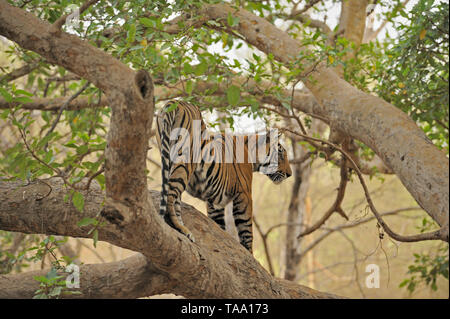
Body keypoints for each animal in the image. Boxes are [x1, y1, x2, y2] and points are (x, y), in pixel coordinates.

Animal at [156, 101, 294, 254]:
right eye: (280, 153)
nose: (290, 174)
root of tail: (175, 102)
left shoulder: (215, 204)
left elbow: (220, 227)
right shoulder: (244, 194)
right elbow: (246, 229)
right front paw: (249, 253)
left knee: (175, 199)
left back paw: (185, 231)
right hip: (184, 163)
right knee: (171, 196)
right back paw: (180, 228)